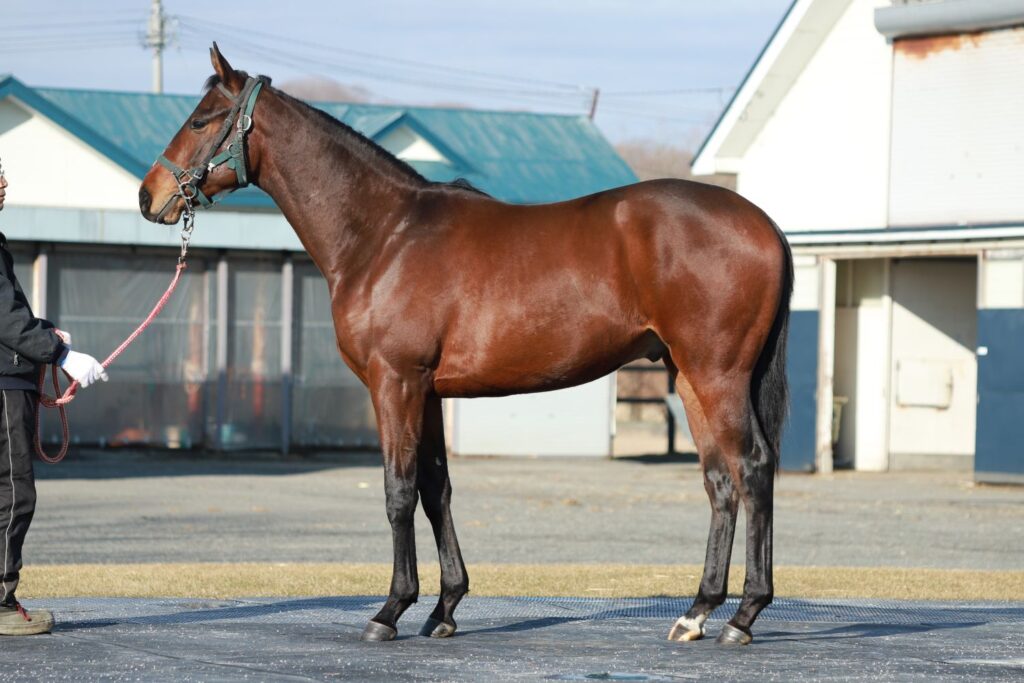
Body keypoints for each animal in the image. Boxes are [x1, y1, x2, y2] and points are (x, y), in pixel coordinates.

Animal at [139, 44, 793, 646]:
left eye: (200, 120)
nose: (149, 196)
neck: (384, 235)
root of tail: (764, 223)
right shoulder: (426, 392)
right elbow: (436, 490)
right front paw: (445, 608)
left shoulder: (395, 381)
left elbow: (398, 491)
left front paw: (390, 610)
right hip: (689, 376)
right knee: (720, 480)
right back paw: (697, 613)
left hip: (717, 374)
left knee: (753, 466)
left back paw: (743, 616)